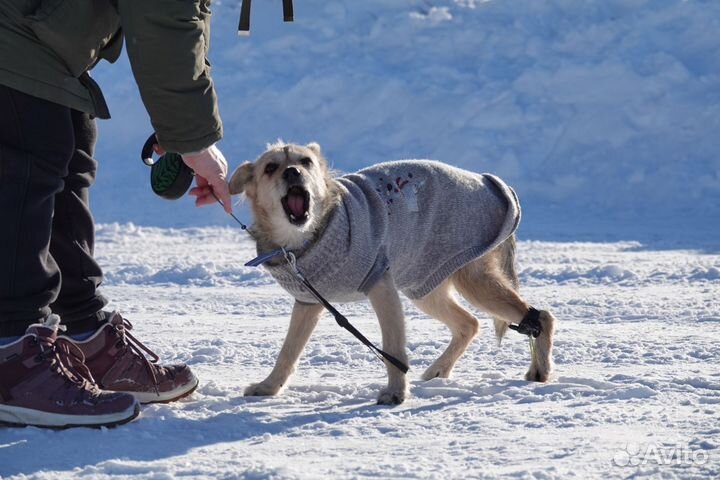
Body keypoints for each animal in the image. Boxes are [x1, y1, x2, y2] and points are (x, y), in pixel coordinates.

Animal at [231, 142, 556, 404]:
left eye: (305, 161)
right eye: (270, 167)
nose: (292, 173)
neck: (312, 234)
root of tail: (490, 181)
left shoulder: (381, 285)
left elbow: (394, 348)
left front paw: (396, 393)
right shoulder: (309, 301)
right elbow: (288, 351)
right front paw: (269, 387)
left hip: (471, 279)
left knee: (540, 317)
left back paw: (540, 369)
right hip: (424, 281)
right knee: (468, 323)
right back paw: (439, 370)